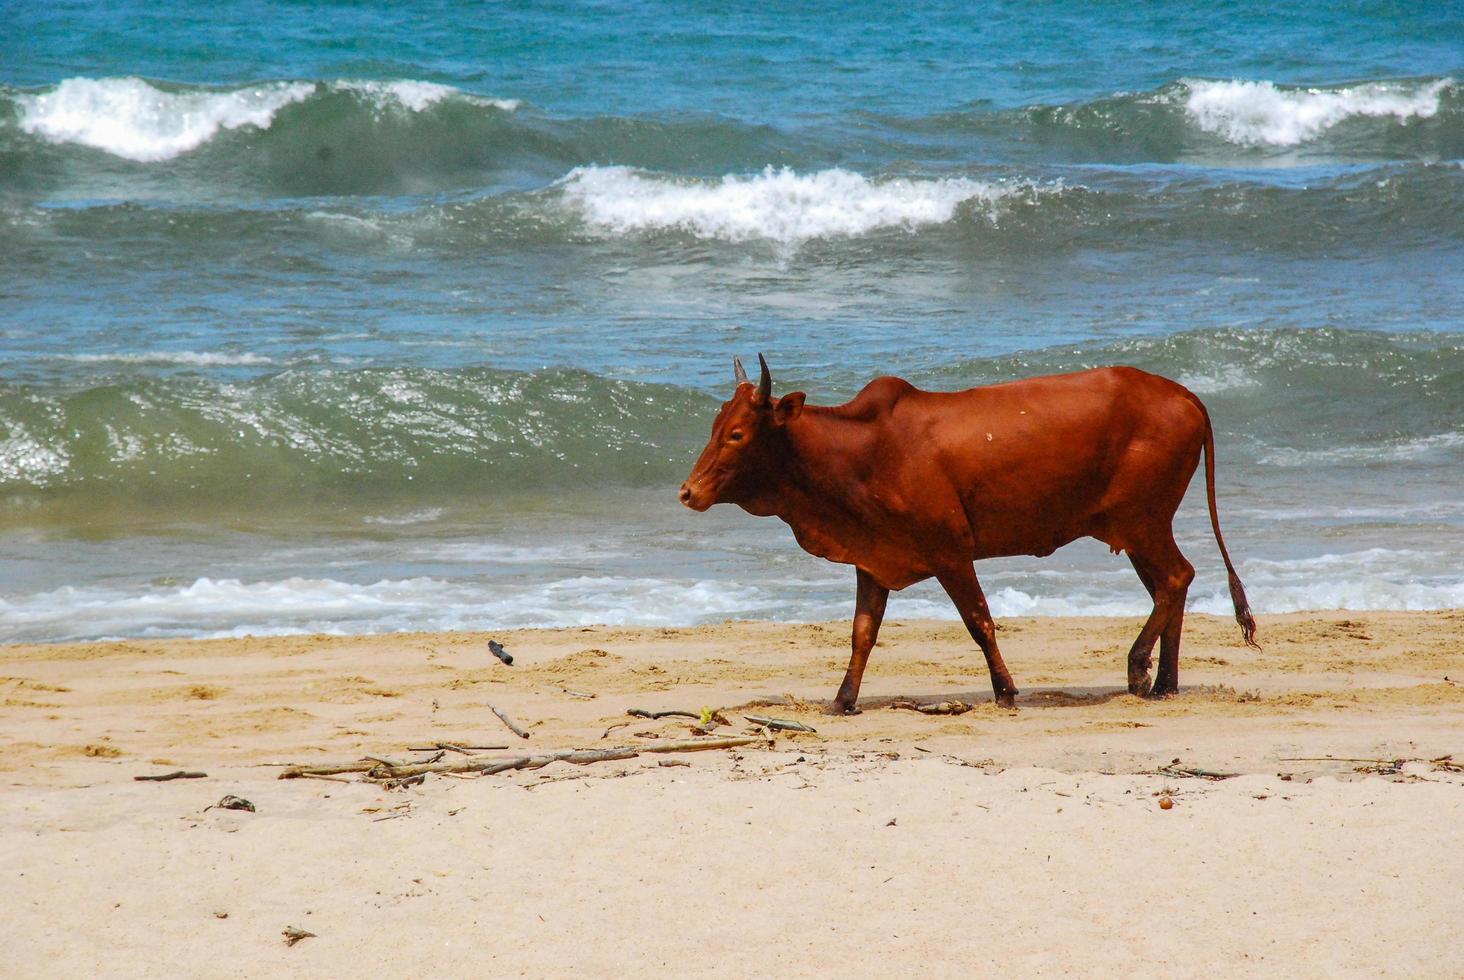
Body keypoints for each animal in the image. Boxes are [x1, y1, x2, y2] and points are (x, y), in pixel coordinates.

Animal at [679, 351, 1253, 711]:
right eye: (713, 427)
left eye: (736, 434)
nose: (687, 492)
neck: (857, 453)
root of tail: (1184, 393)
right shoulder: (873, 561)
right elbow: (862, 634)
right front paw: (843, 700)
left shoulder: (951, 553)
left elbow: (979, 622)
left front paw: (1005, 691)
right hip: (1138, 529)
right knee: (1171, 585)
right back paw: (1165, 682)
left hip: (1142, 522)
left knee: (1175, 579)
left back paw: (1139, 670)